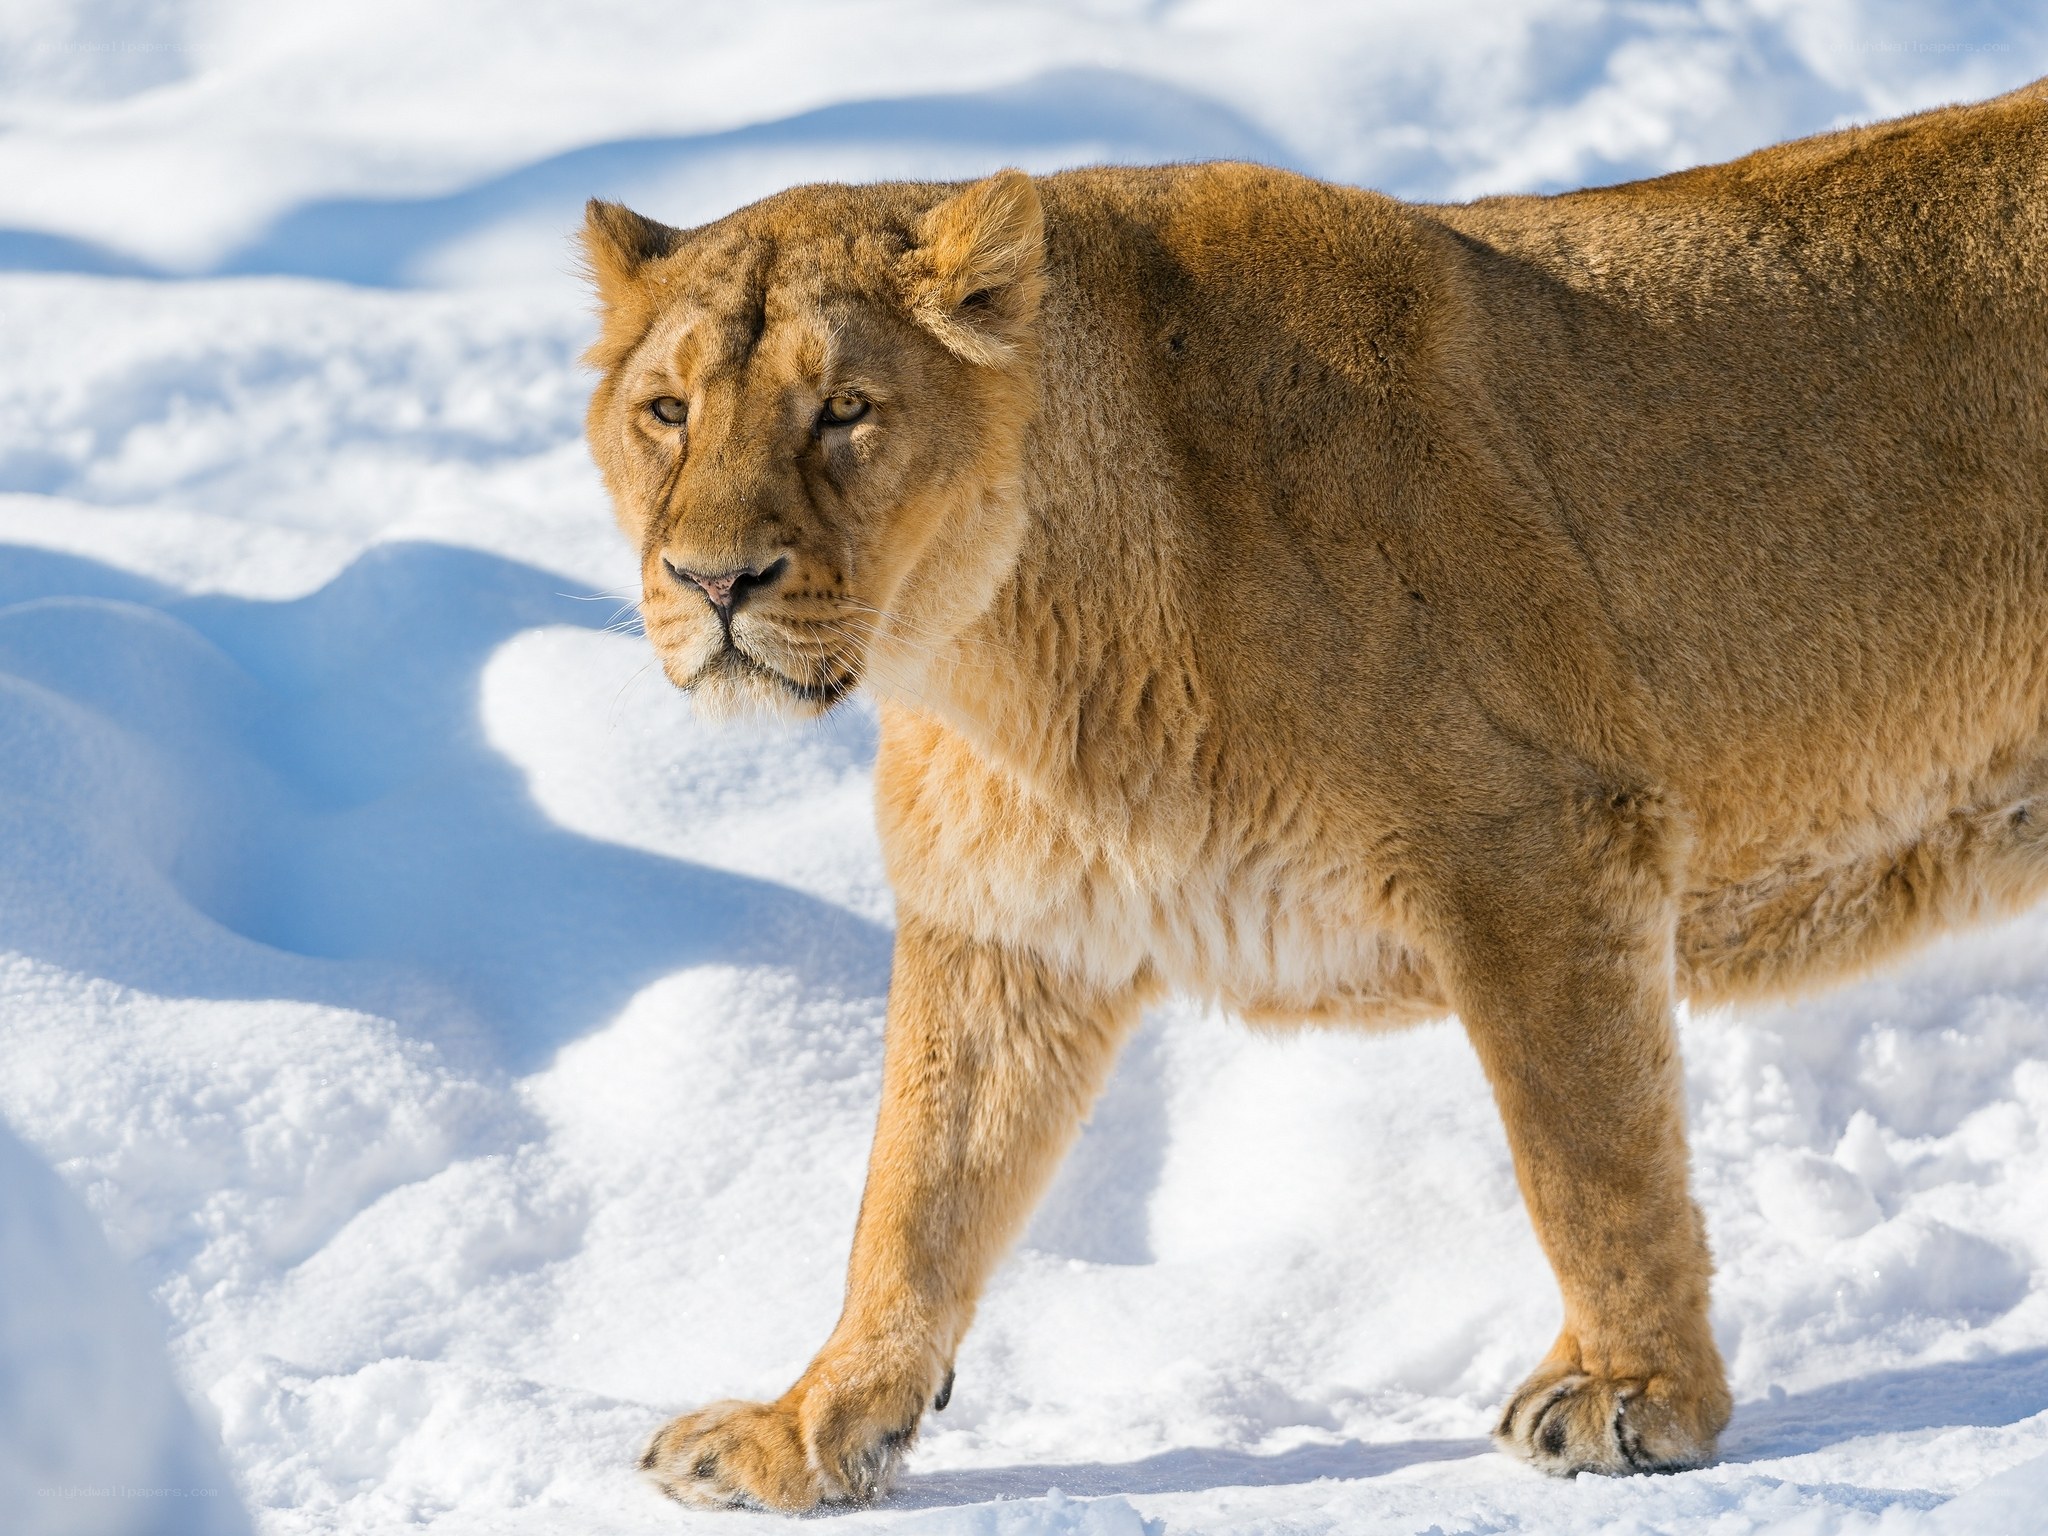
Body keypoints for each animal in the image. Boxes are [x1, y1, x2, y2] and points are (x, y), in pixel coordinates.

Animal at [578, 78, 2048, 1511]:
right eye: (668, 412)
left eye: (844, 409)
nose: (713, 581)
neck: (993, 654)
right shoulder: (1013, 920)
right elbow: (918, 1190)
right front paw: (812, 1428)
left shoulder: (1541, 838)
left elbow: (1587, 1156)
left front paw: (1638, 1398)